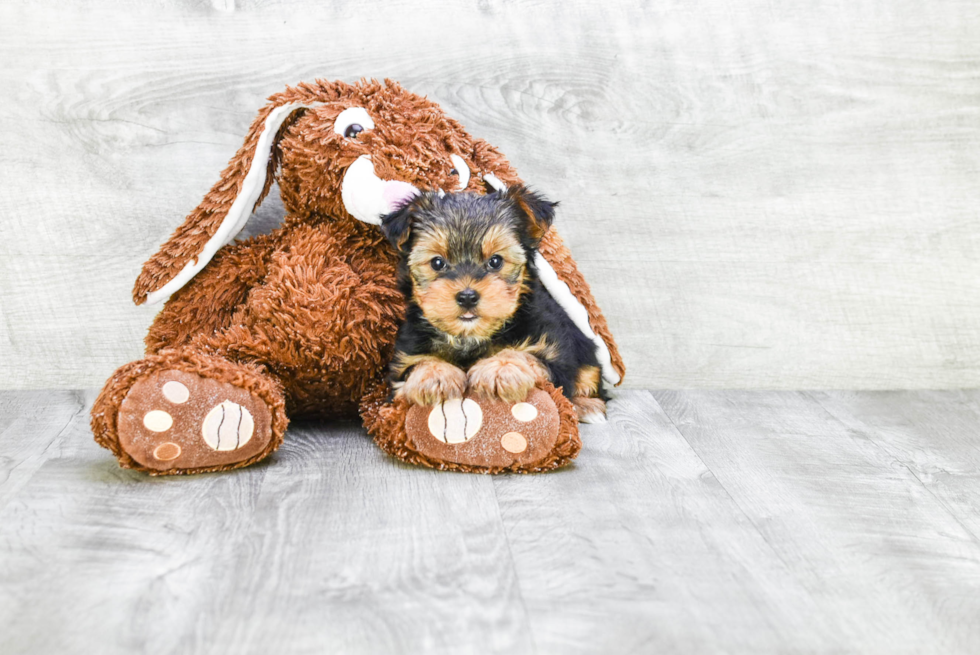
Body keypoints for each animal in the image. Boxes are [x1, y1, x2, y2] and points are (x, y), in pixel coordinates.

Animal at [380, 186, 604, 420]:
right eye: (437, 263)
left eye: (495, 261)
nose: (467, 296)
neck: (470, 337)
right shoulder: (402, 361)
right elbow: (415, 365)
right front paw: (435, 373)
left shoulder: (555, 354)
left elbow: (529, 357)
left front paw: (500, 367)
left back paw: (588, 407)